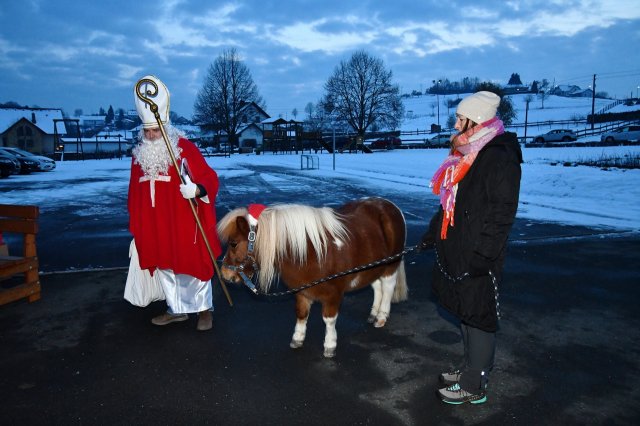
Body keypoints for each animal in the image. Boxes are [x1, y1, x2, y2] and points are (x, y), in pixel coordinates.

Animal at [218, 198, 408, 358]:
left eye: (233, 243)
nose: (225, 274)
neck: (312, 252)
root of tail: (391, 206)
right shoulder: (302, 291)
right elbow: (301, 314)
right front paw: (297, 338)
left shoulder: (333, 295)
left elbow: (329, 320)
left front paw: (330, 345)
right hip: (372, 267)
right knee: (377, 287)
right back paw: (373, 313)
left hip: (390, 266)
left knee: (388, 287)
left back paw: (381, 316)